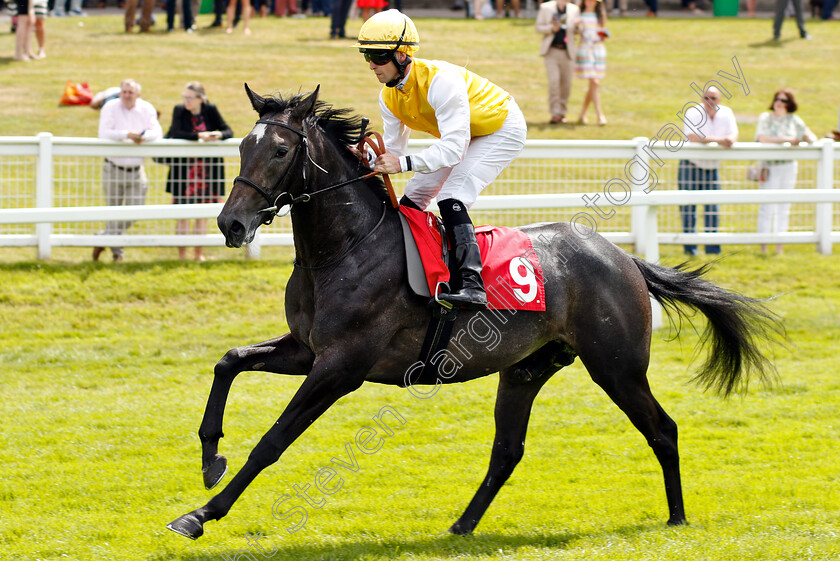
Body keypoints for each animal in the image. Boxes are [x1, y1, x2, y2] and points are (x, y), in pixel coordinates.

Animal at [166, 86, 780, 540]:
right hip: (526, 369)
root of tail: (622, 256)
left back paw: (676, 517)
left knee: (663, 428)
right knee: (508, 450)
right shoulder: (306, 349)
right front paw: (210, 457)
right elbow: (229, 360)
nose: (231, 224)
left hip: (617, 366)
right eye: (241, 148)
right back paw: (462, 525)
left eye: (279, 151)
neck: (347, 247)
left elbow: (272, 441)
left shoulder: (342, 367)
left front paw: (200, 514)